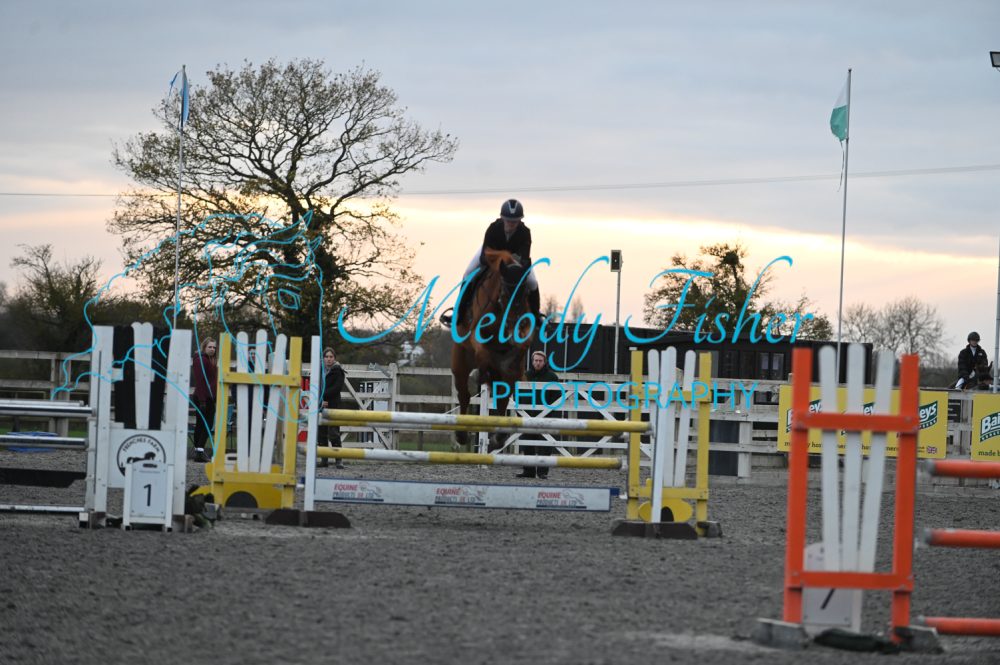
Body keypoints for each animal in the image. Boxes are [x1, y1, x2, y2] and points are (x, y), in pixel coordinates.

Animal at [451, 248, 535, 450]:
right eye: (504, 293)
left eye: (524, 294)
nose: (514, 325)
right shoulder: (475, 335)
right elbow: (482, 353)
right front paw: (479, 375)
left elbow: (520, 348)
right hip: (460, 363)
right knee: (464, 394)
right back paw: (461, 435)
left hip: (507, 375)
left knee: (503, 396)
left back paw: (499, 437)